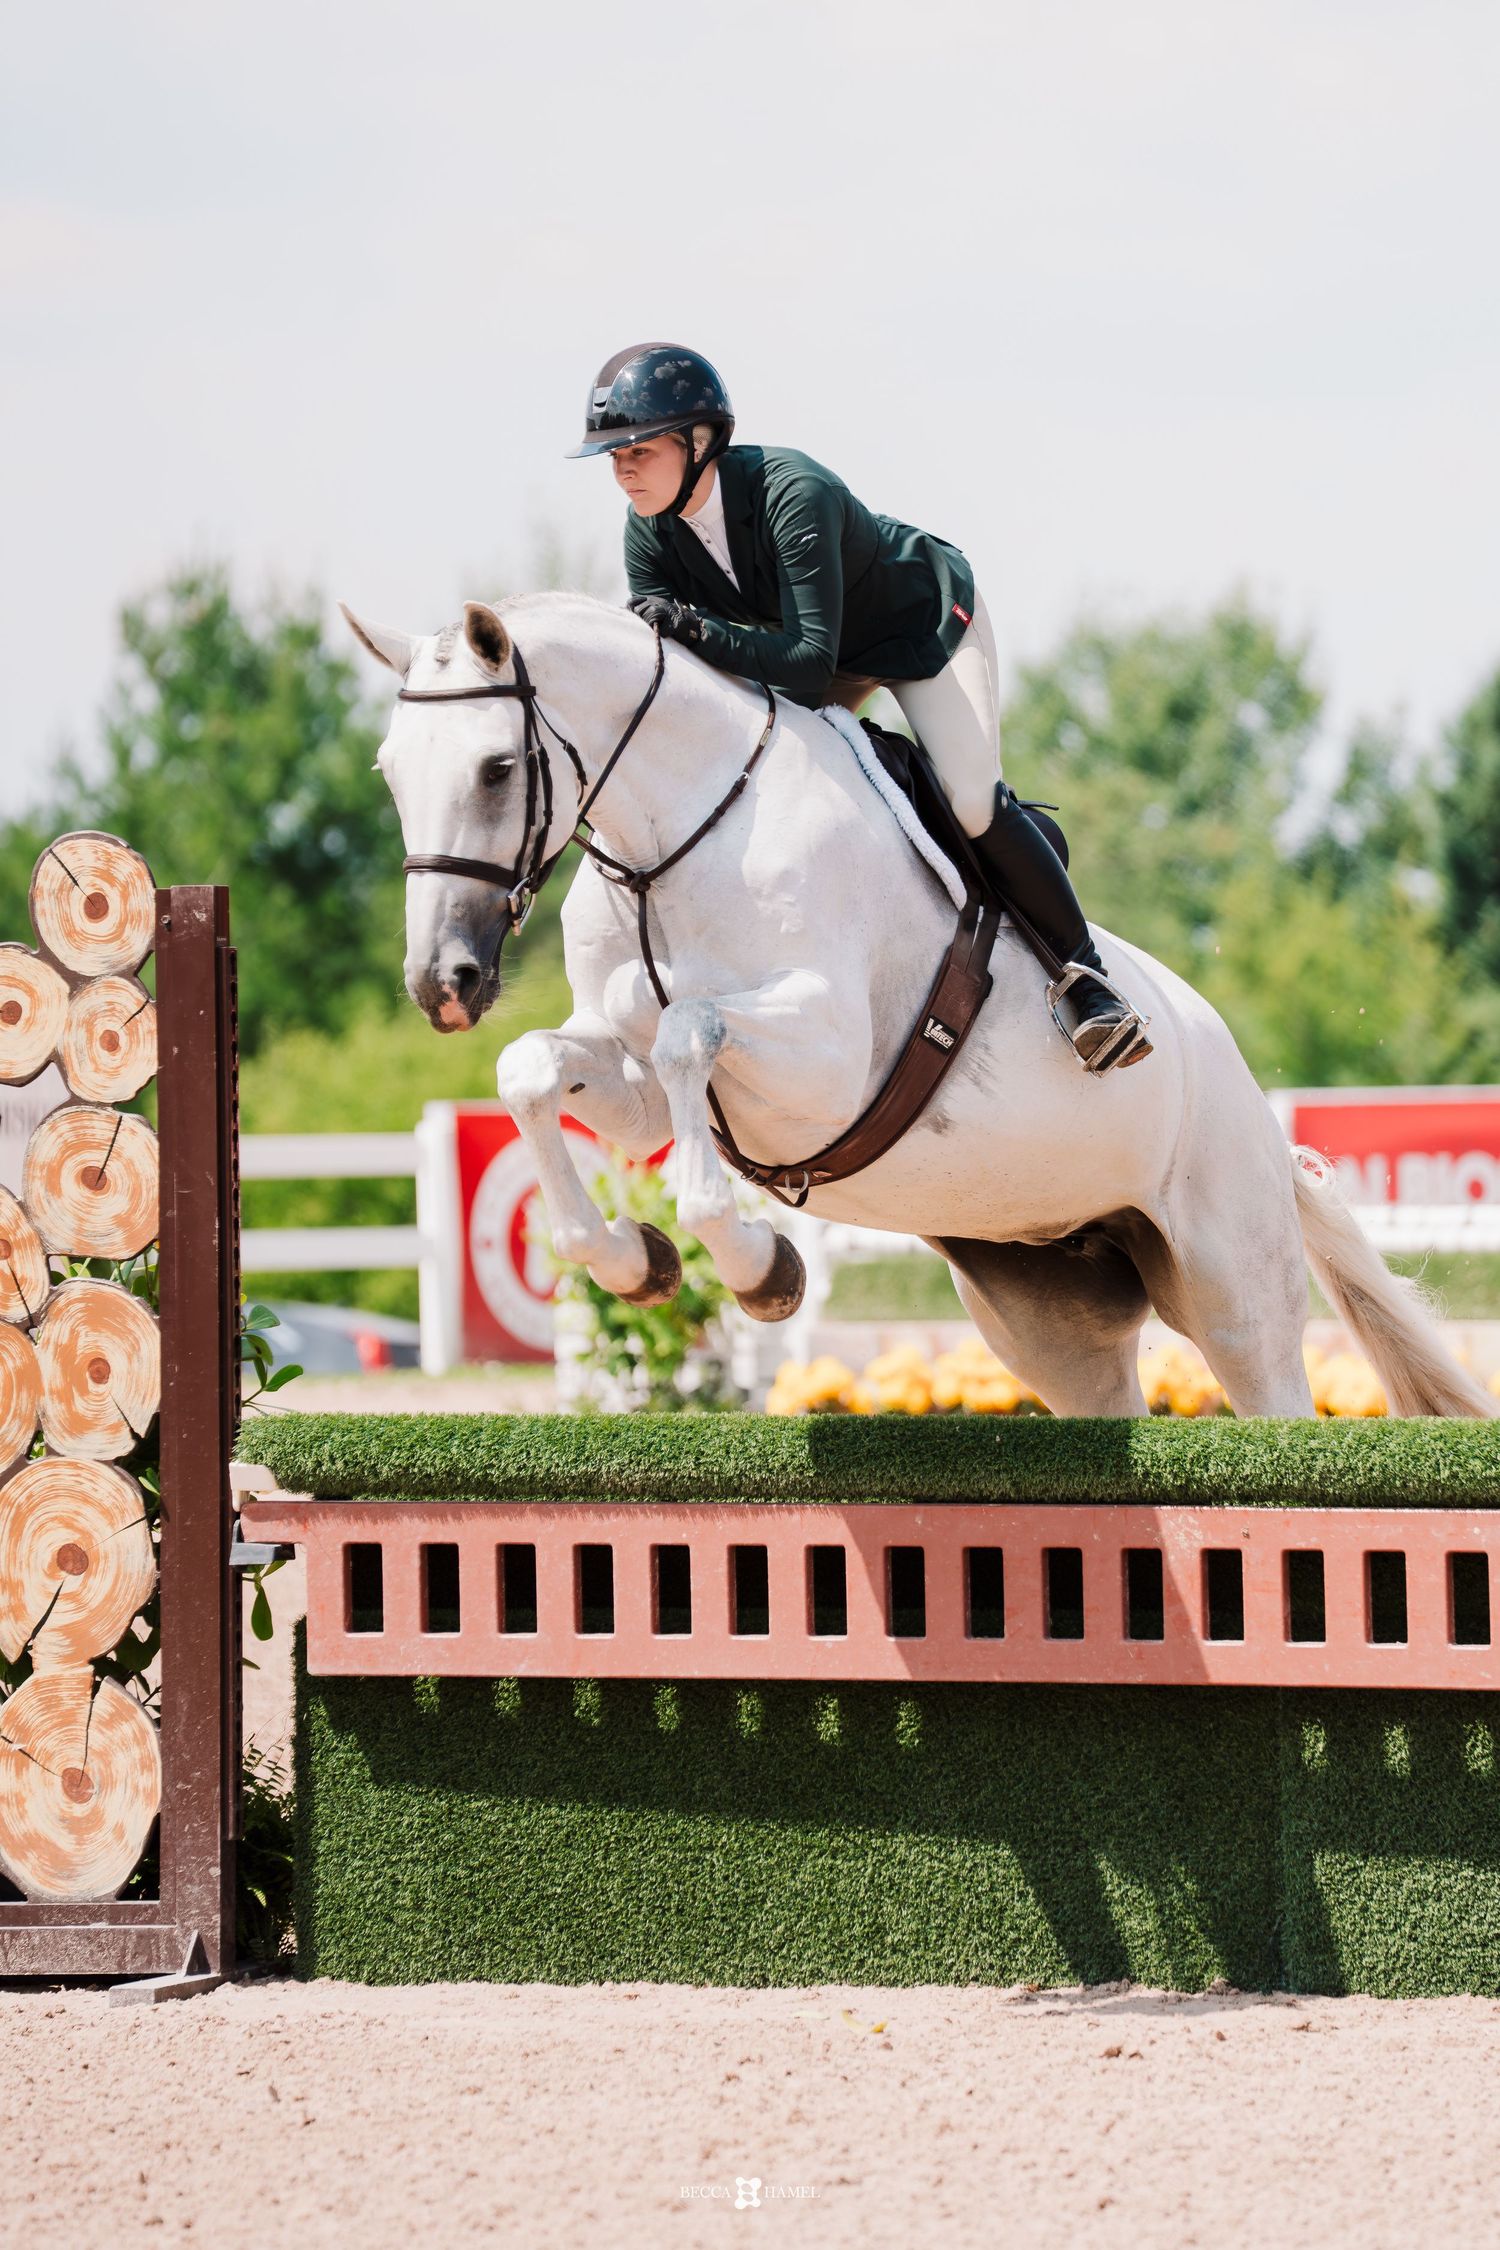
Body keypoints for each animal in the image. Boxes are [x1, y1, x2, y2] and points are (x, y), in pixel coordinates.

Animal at [343, 590, 1493, 1421]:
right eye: (388, 772)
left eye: (498, 768)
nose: (443, 982)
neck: (672, 839)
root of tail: (1261, 1118)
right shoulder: (625, 1079)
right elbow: (535, 1069)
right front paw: (635, 1259)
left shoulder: (821, 1065)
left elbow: (690, 1034)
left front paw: (758, 1269)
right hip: (1049, 1321)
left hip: (1234, 1288)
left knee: (1270, 1391)